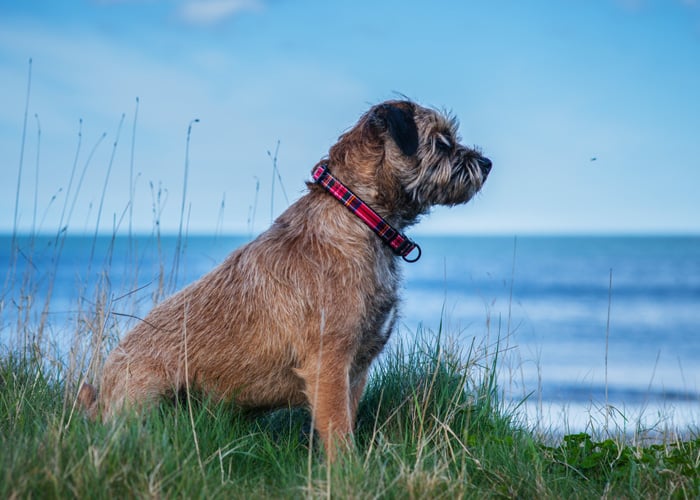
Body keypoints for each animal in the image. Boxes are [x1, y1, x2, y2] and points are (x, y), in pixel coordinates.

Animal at [78, 98, 492, 460]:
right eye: (442, 141)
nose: (486, 163)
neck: (358, 215)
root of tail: (102, 396)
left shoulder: (355, 370)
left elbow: (345, 420)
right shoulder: (328, 365)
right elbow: (339, 432)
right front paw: (348, 474)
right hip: (150, 394)